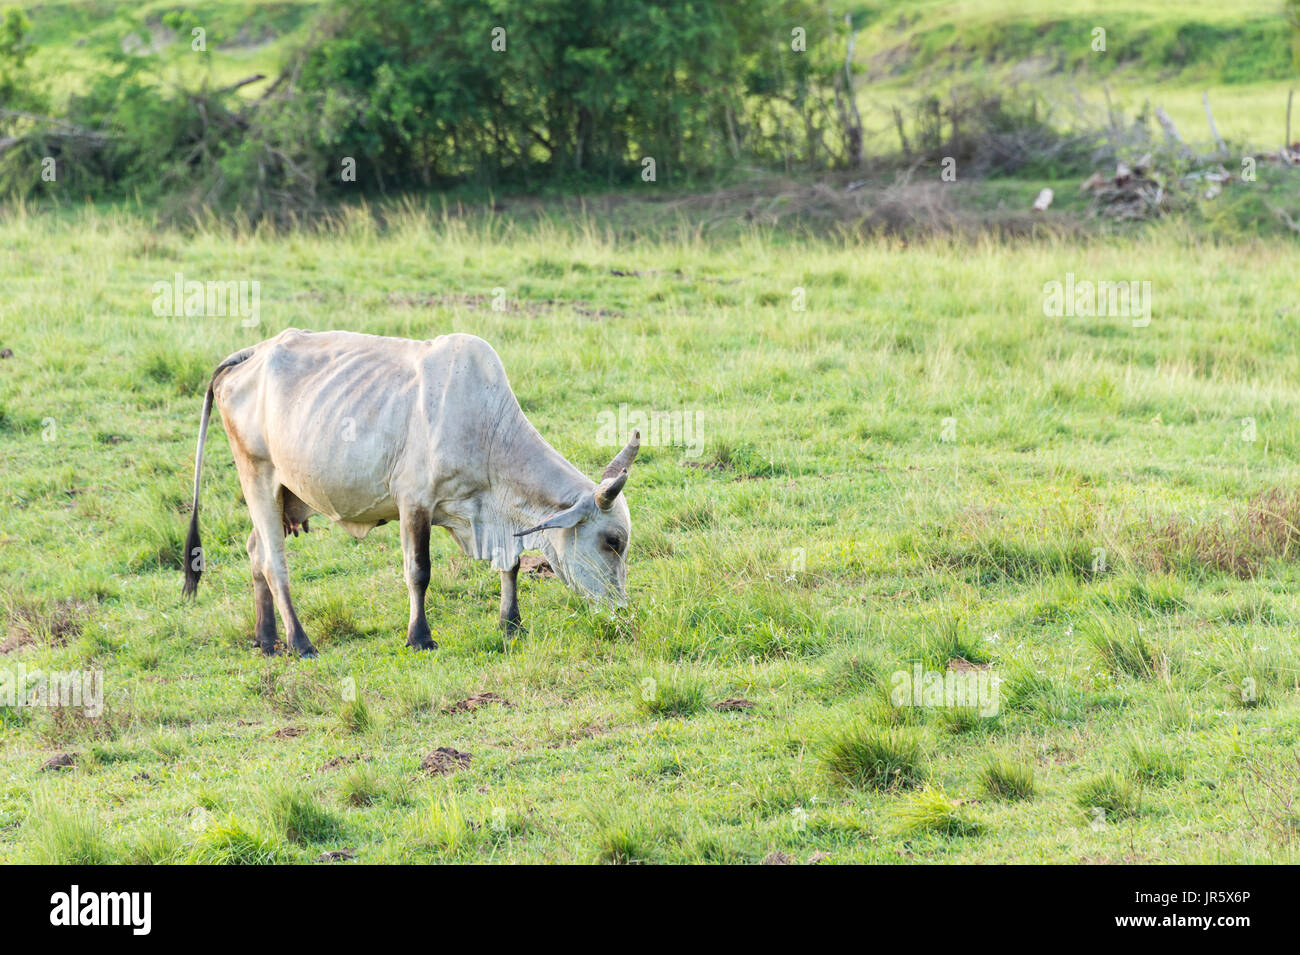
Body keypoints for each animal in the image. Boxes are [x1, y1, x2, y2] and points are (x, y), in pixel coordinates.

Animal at [182, 328, 639, 657]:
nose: (623, 612)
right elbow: (419, 572)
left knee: (255, 551)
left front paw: (511, 624)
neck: (489, 431)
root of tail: (253, 353)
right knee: (275, 564)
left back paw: (266, 640)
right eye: (612, 542)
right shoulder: (415, 502)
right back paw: (299, 643)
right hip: (256, 475)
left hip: (281, 493)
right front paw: (420, 637)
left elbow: (509, 566)